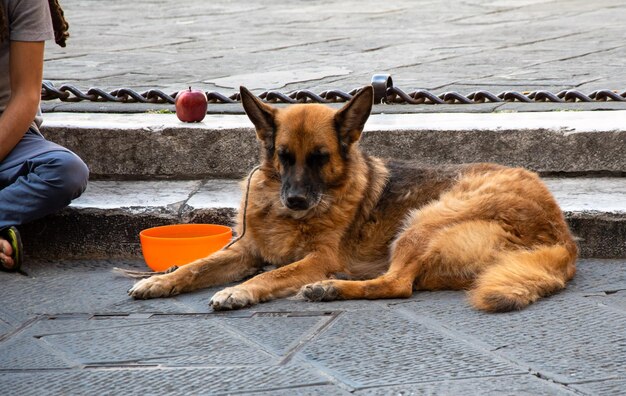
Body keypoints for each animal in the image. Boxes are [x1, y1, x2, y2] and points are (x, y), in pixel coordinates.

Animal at [127, 86, 576, 312]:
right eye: (283, 156)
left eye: (321, 158)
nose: (295, 200)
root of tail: (562, 239)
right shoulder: (246, 250)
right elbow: (199, 265)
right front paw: (161, 279)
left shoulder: (318, 258)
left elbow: (271, 274)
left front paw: (241, 291)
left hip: (424, 220)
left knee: (398, 285)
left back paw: (331, 288)